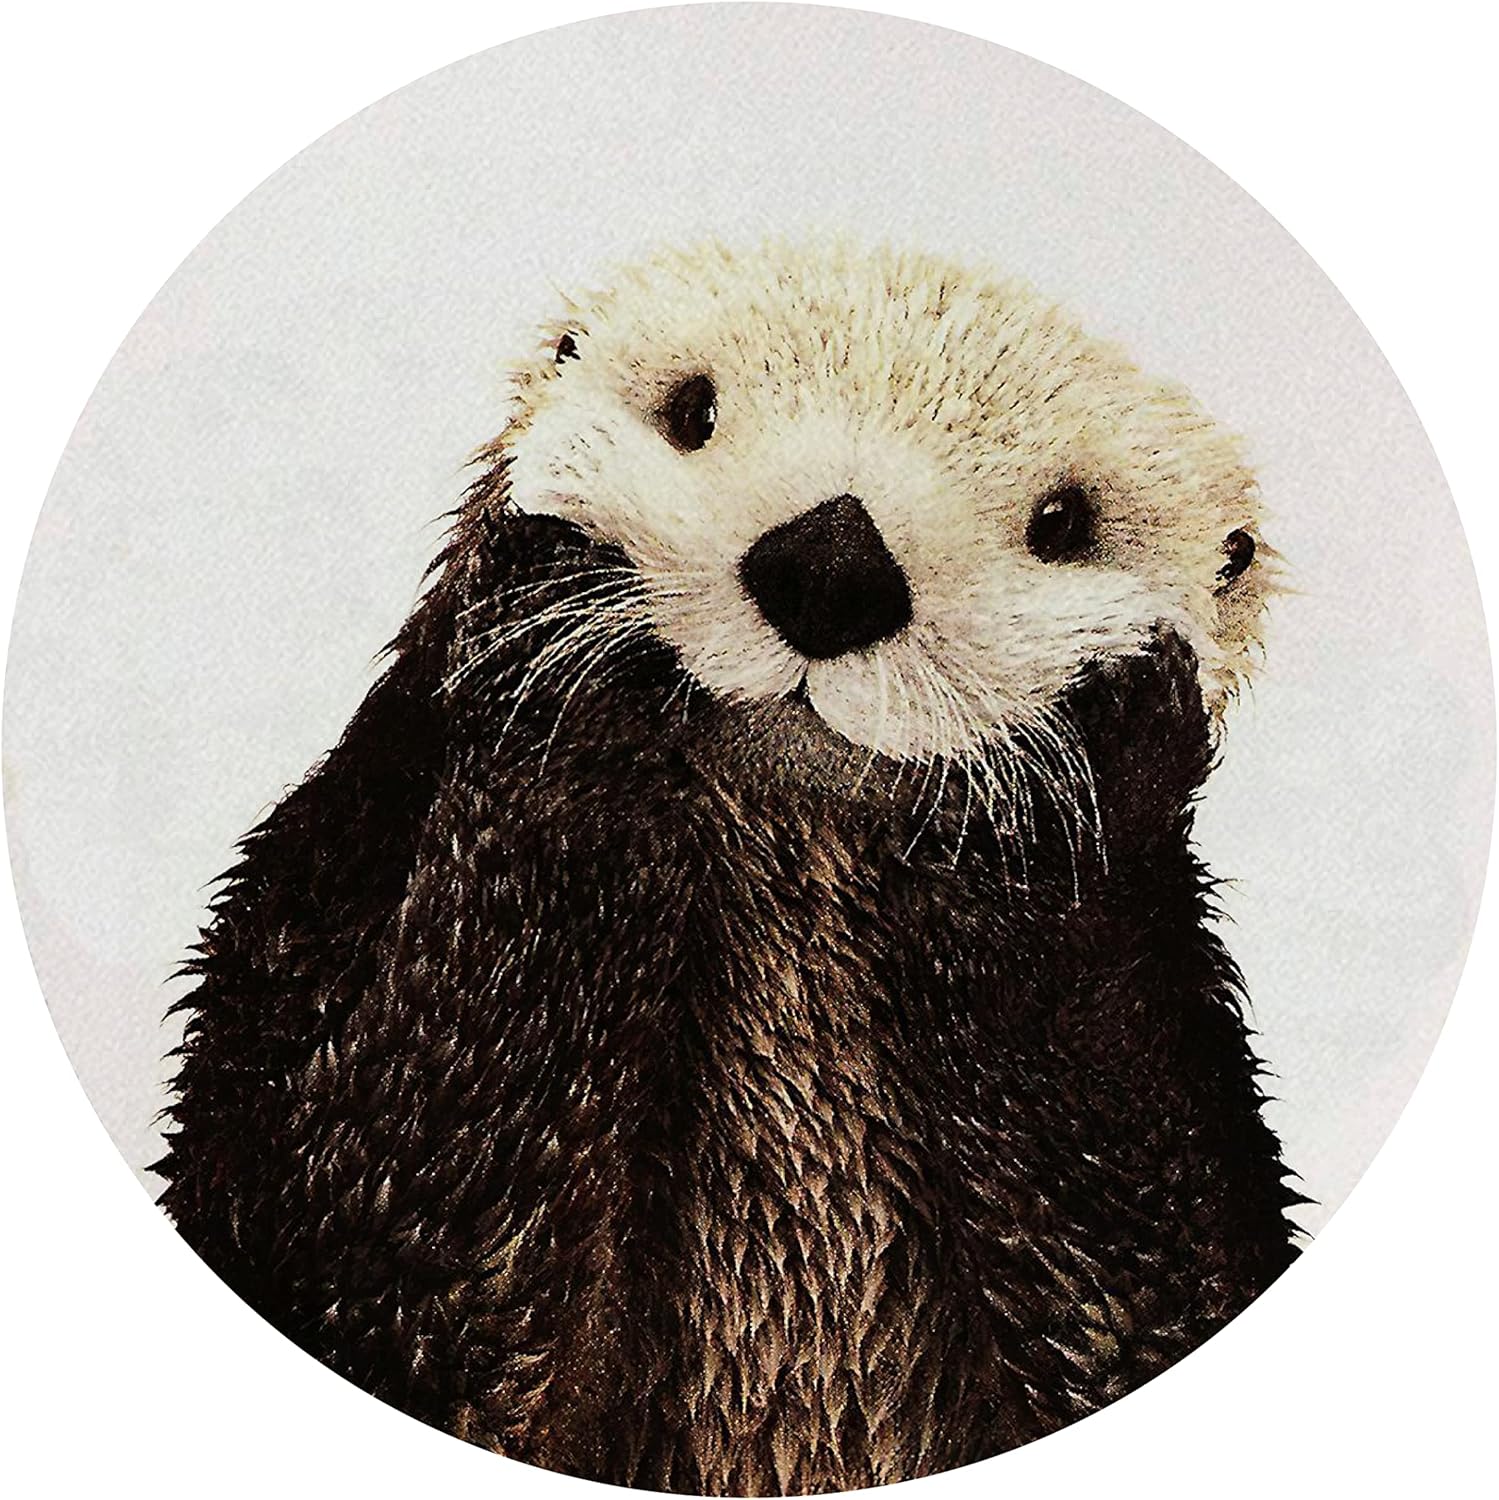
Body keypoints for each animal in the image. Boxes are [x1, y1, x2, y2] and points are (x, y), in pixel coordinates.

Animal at [157, 243, 1302, 1494]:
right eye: (690, 412)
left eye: (1062, 522)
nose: (833, 564)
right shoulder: (322, 908)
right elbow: (379, 1246)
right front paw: (557, 618)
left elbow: (1130, 1282)